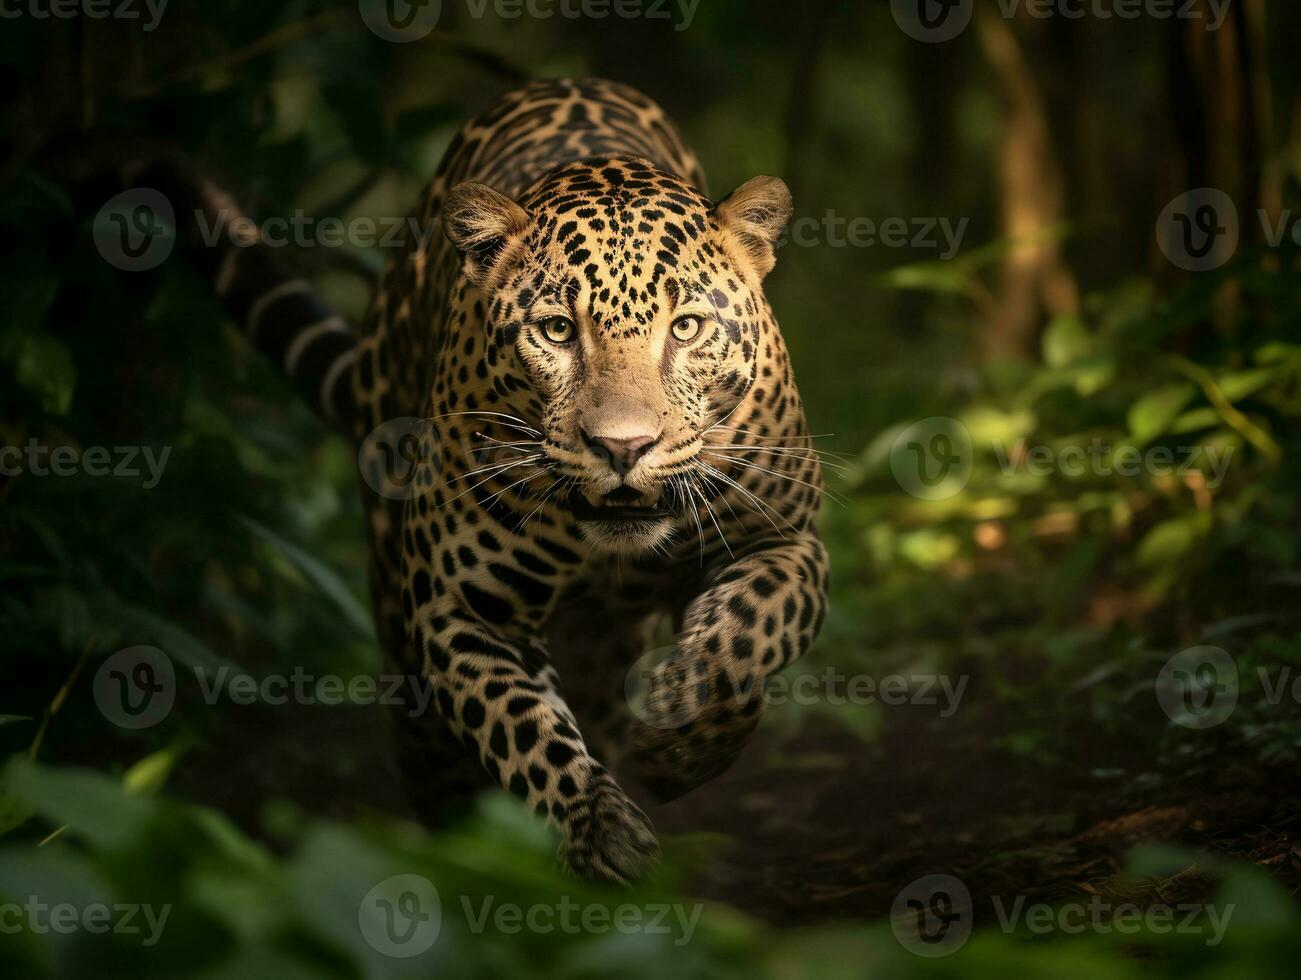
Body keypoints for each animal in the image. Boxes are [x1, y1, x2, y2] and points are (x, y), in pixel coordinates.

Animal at [101, 78, 832, 884]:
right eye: (556, 331)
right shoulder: (464, 611)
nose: (623, 447)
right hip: (400, 623)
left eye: (688, 328)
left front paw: (687, 741)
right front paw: (598, 830)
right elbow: (525, 731)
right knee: (437, 778)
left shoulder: (788, 539)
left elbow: (752, 628)